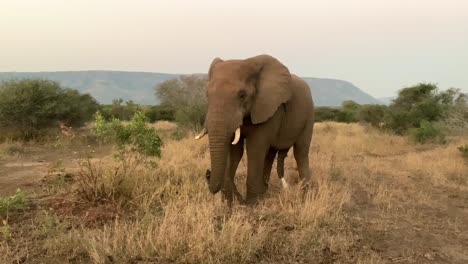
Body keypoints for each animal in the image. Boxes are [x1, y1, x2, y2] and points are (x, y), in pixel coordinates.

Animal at [194, 53, 314, 205]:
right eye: (207, 95)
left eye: (242, 95)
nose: (208, 172)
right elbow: (235, 151)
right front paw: (228, 205)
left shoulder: (268, 107)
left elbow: (255, 148)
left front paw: (251, 205)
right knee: (270, 154)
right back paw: (265, 192)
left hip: (309, 115)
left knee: (301, 151)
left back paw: (305, 195)